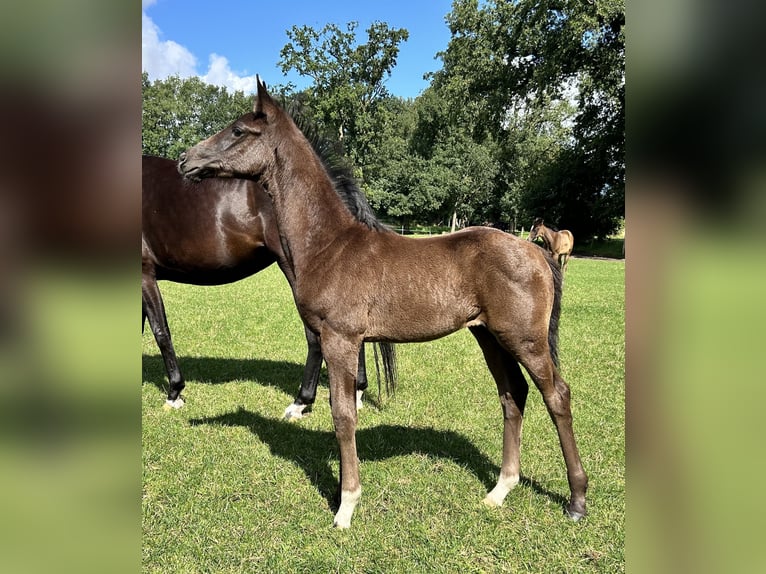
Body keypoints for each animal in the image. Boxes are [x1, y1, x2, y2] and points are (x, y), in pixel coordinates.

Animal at [142, 156, 402, 418]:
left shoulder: (145, 275)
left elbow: (160, 331)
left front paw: (174, 392)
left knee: (315, 337)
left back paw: (301, 402)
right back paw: (355, 393)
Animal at [178, 80, 588, 532]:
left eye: (238, 131)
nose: (185, 160)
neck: (330, 244)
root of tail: (537, 253)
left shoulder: (340, 338)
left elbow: (343, 415)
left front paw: (345, 506)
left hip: (525, 339)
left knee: (557, 396)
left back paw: (576, 500)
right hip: (490, 337)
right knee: (513, 395)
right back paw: (500, 490)